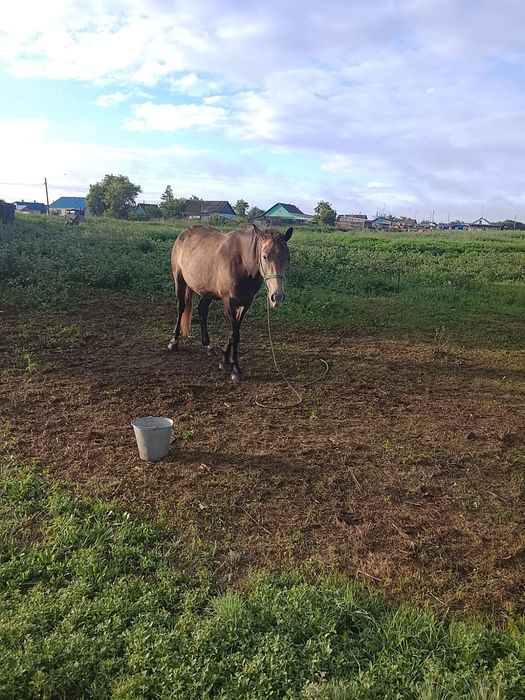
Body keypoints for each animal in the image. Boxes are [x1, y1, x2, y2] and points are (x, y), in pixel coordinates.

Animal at [167, 222, 293, 381]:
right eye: (265, 257)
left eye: (287, 258)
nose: (277, 297)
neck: (242, 263)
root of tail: (184, 233)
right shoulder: (229, 301)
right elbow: (234, 334)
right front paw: (236, 369)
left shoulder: (245, 303)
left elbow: (235, 331)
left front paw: (225, 360)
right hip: (179, 280)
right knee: (181, 307)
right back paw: (173, 342)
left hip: (207, 291)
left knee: (202, 310)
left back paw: (208, 346)